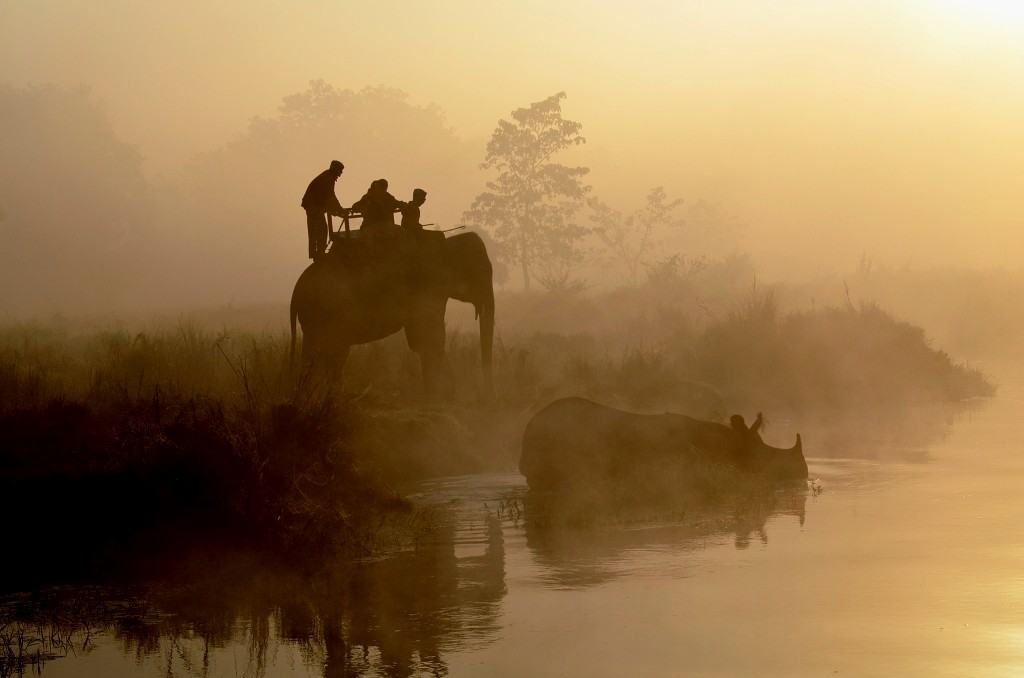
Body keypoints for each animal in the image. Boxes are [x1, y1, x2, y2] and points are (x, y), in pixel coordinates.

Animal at [288, 231, 495, 395]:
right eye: (483, 274)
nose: (486, 393)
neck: (447, 244)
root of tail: (297, 288)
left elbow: (422, 340)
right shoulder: (427, 286)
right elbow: (429, 339)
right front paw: (440, 396)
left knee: (326, 353)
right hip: (323, 312)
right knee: (329, 351)